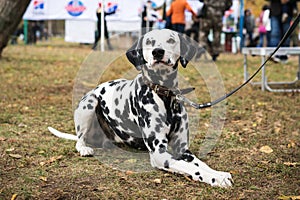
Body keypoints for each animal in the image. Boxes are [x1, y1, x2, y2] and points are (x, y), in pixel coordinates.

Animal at [48, 29, 232, 188]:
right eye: (149, 41)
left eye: (171, 40)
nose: (157, 52)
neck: (164, 95)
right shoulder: (160, 154)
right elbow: (191, 168)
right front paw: (215, 178)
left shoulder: (183, 149)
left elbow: (201, 164)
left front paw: (218, 173)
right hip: (90, 103)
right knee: (79, 139)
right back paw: (84, 148)